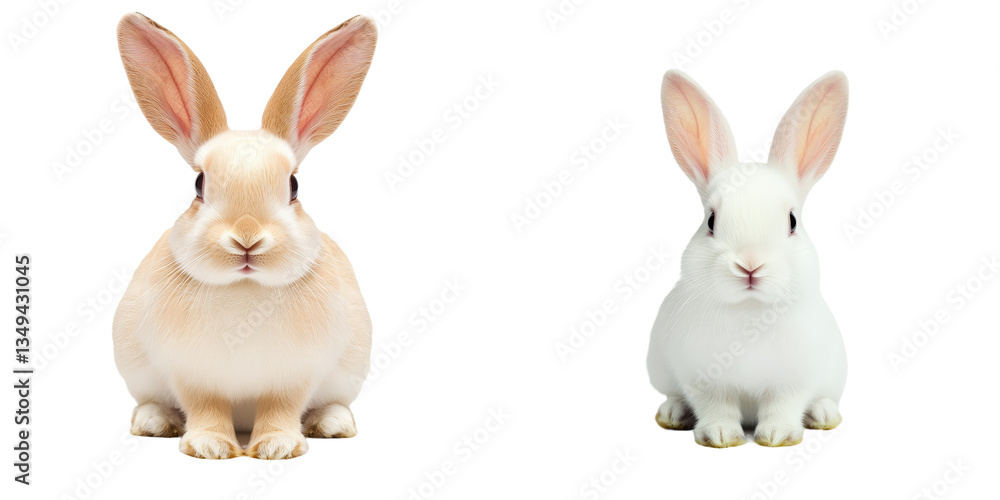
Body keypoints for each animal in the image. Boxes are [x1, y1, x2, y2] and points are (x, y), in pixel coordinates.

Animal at [112, 13, 377, 459]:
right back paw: (153, 422)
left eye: (293, 186)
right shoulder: (192, 375)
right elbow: (205, 407)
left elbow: (281, 408)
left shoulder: (294, 376)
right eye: (199, 185)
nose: (247, 238)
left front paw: (277, 447)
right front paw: (211, 447)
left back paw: (334, 425)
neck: (244, 290)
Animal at [646, 70, 849, 448]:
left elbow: (784, 406)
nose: (750, 265)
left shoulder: (794, 381)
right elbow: (716, 407)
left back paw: (823, 414)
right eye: (711, 221)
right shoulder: (703, 380)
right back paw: (673, 413)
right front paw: (721, 435)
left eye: (792, 221)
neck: (750, 311)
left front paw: (777, 435)